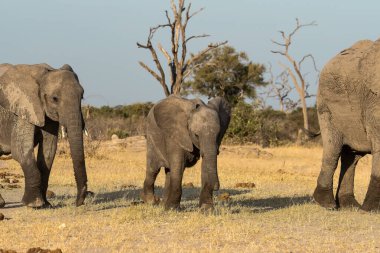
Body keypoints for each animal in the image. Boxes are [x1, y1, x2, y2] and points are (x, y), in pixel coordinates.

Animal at [314, 38, 380, 211]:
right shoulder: (374, 100)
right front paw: (371, 210)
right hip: (326, 107)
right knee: (333, 150)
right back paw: (327, 204)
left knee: (351, 157)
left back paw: (349, 205)